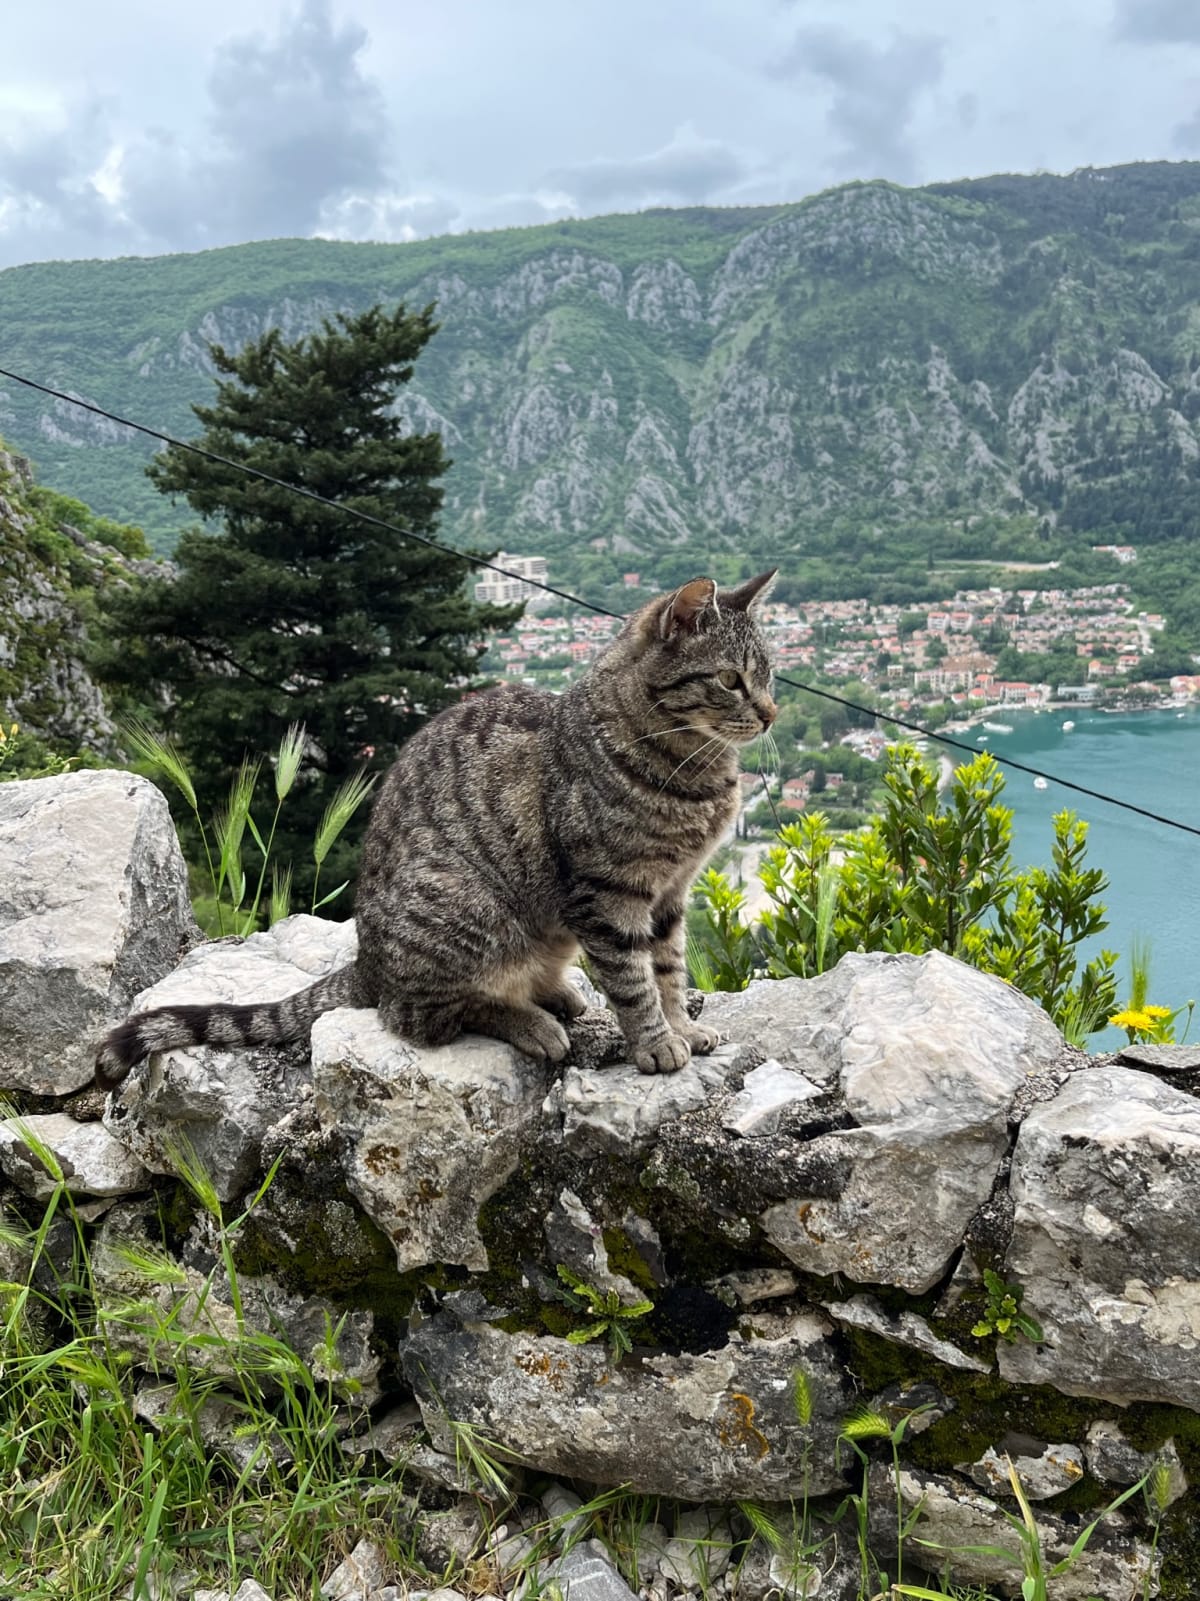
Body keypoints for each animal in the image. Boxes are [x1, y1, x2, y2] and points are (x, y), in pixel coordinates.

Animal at [98, 573, 784, 1088]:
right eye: (731, 680)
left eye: (770, 675)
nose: (773, 713)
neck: (695, 770)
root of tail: (367, 964)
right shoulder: (608, 895)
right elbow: (635, 980)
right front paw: (656, 1043)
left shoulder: (671, 893)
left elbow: (668, 971)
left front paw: (684, 1027)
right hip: (465, 903)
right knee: (424, 1013)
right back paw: (531, 1021)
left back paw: (556, 994)